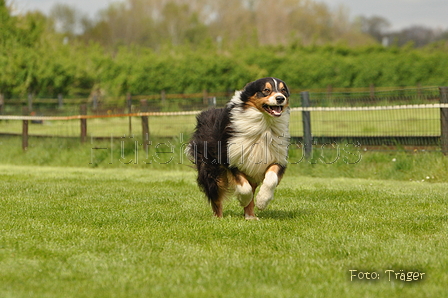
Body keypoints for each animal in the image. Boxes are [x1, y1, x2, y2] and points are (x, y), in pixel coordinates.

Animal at [186, 78, 290, 220]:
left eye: (283, 90)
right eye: (266, 90)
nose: (280, 98)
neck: (264, 124)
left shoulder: (276, 157)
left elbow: (271, 179)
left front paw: (262, 201)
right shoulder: (231, 159)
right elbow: (244, 187)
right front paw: (243, 199)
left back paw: (250, 217)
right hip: (212, 170)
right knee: (216, 197)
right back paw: (218, 218)